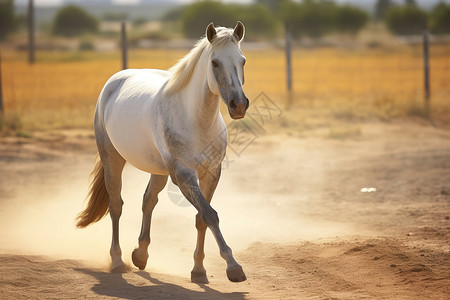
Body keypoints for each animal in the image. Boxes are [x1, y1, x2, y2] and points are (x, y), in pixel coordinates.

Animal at [75, 21, 248, 284]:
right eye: (215, 63)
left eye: (242, 61)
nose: (239, 105)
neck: (196, 120)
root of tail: (115, 80)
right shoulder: (184, 175)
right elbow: (209, 215)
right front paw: (233, 266)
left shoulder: (211, 172)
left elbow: (201, 218)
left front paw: (199, 270)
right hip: (112, 159)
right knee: (116, 205)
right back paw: (117, 261)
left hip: (158, 170)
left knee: (148, 200)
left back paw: (140, 255)